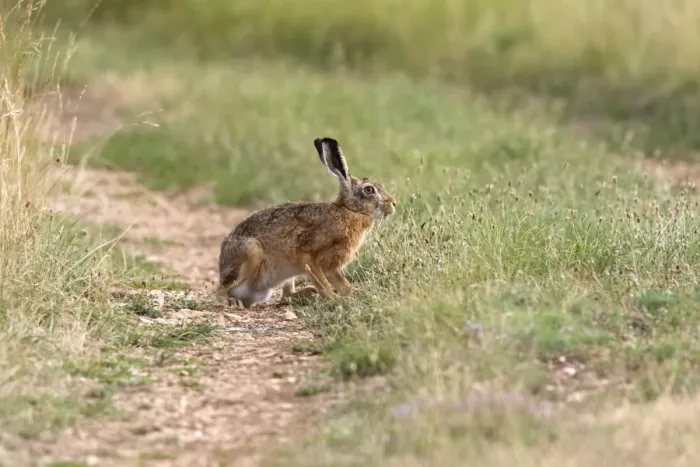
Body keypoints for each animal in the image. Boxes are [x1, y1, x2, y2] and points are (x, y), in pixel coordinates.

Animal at [216, 136, 397, 308]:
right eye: (369, 189)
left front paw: (357, 292)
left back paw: (309, 292)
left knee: (286, 296)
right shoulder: (311, 256)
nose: (393, 203)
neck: (349, 210)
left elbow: (342, 284)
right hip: (250, 251)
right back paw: (233, 302)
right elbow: (324, 279)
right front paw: (340, 298)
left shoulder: (332, 267)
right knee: (222, 291)